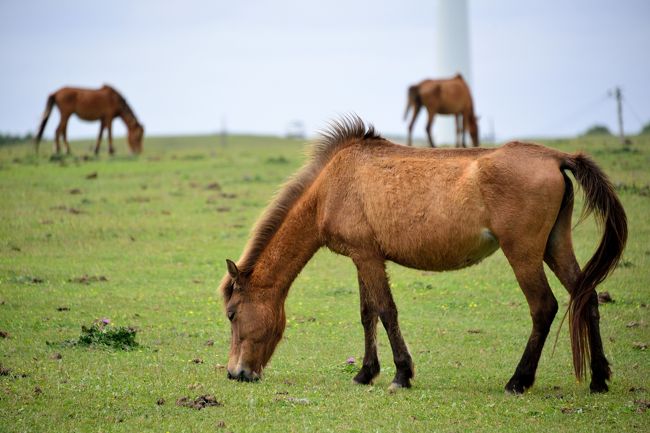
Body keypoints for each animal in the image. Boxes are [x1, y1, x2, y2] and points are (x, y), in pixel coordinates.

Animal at [220, 116, 624, 394]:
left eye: (232, 313)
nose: (235, 373)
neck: (331, 187)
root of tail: (555, 157)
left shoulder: (367, 257)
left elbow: (386, 311)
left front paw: (401, 374)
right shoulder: (362, 257)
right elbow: (367, 314)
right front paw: (365, 373)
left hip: (523, 254)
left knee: (544, 307)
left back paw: (518, 381)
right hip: (556, 246)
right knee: (585, 296)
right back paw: (599, 379)